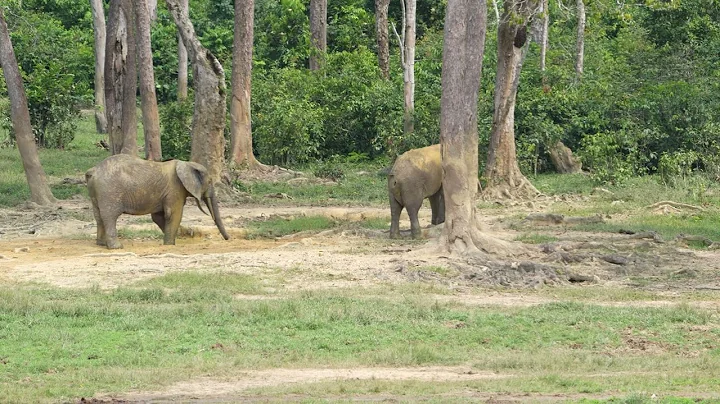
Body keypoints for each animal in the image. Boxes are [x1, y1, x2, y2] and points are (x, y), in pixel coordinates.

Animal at [84, 155, 232, 249]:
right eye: (210, 182)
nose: (228, 239)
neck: (187, 163)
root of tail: (93, 170)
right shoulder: (175, 189)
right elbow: (174, 214)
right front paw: (170, 244)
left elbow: (158, 217)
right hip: (109, 192)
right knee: (110, 217)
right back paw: (117, 247)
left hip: (96, 192)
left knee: (99, 216)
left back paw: (101, 244)